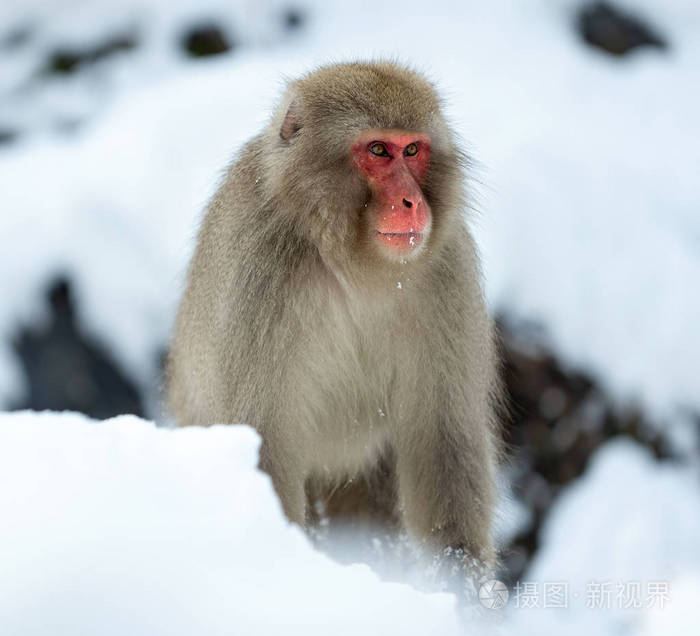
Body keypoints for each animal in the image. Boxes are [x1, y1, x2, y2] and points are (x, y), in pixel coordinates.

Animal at [167, 60, 500, 568]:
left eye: (413, 150)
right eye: (379, 150)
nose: (413, 202)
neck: (351, 261)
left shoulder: (448, 270)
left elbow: (444, 440)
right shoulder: (261, 271)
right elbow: (263, 442)